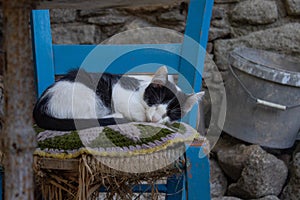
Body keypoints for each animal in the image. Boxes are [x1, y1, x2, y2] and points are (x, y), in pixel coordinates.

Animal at [33, 66, 204, 131]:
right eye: (155, 101)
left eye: (171, 113)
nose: (155, 119)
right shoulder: (118, 90)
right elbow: (134, 110)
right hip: (87, 95)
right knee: (86, 118)